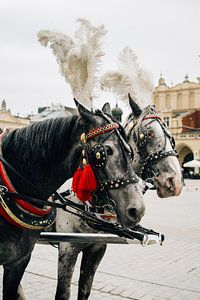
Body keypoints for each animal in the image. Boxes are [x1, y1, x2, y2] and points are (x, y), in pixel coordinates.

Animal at [0, 100, 145, 300]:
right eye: (106, 151)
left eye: (131, 152)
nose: (137, 210)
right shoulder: (68, 248)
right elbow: (63, 293)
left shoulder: (95, 249)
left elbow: (84, 290)